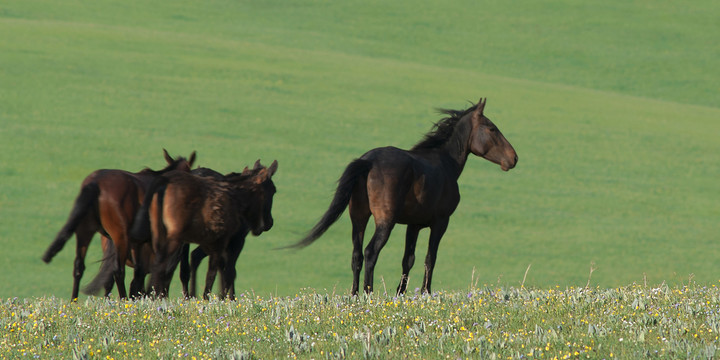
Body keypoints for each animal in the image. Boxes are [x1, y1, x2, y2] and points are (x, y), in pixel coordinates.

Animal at [44, 148, 197, 300]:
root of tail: (95, 183)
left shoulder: (140, 244)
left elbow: (140, 274)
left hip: (85, 230)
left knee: (79, 266)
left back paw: (74, 301)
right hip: (120, 236)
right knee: (118, 271)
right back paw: (124, 299)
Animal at [134, 160, 278, 298]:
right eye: (273, 190)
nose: (269, 223)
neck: (238, 199)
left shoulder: (213, 243)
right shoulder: (232, 240)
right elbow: (223, 272)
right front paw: (223, 298)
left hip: (165, 237)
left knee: (173, 268)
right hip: (176, 238)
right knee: (165, 265)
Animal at [286, 98, 516, 296]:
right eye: (492, 128)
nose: (514, 158)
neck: (445, 162)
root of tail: (368, 161)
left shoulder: (413, 225)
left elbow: (408, 259)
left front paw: (401, 292)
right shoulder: (440, 222)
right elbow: (430, 258)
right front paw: (425, 292)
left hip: (358, 218)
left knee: (356, 255)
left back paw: (355, 294)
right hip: (385, 222)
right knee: (370, 252)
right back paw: (368, 293)